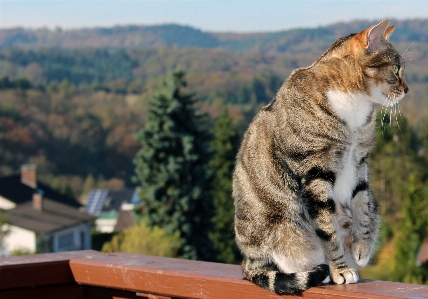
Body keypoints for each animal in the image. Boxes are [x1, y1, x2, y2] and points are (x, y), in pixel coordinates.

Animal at [232, 19, 410, 294]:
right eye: (397, 69)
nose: (407, 89)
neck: (354, 106)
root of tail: (247, 261)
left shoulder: (360, 163)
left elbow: (362, 207)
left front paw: (361, 249)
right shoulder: (314, 171)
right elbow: (328, 230)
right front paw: (340, 270)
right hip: (278, 227)